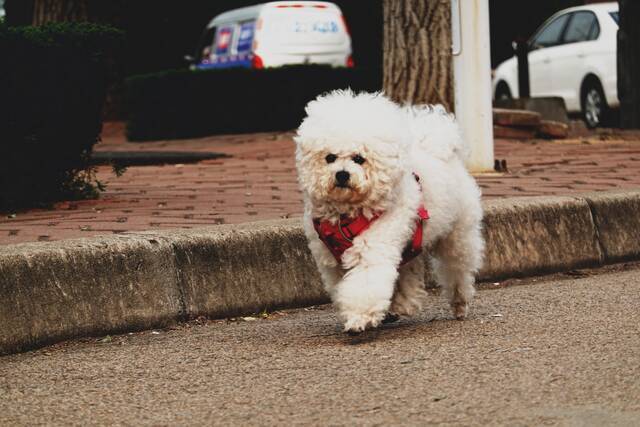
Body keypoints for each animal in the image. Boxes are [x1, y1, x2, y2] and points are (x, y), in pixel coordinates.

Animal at [292, 90, 482, 334]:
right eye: (330, 158)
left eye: (359, 158)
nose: (342, 175)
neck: (347, 213)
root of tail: (437, 148)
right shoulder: (331, 262)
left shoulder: (374, 248)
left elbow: (364, 285)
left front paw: (359, 318)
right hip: (410, 239)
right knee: (408, 270)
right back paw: (400, 306)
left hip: (457, 237)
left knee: (457, 269)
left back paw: (459, 302)